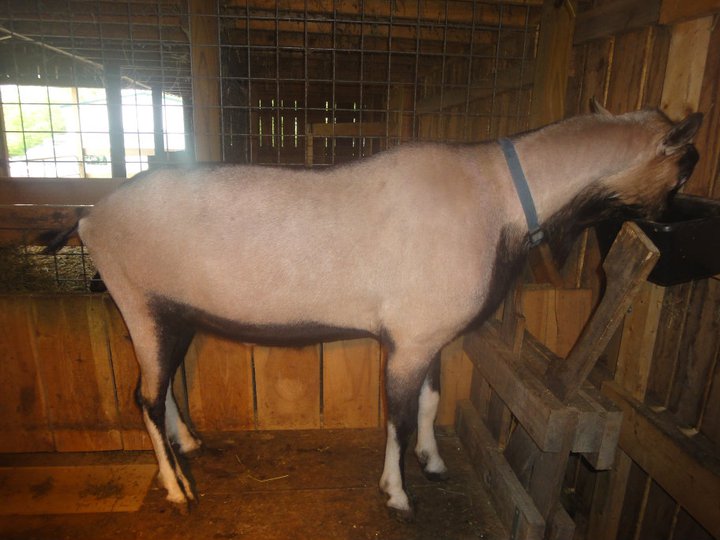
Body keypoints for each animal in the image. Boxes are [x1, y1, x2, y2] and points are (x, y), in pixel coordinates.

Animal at [44, 101, 701, 521]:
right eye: (683, 167)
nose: (670, 219)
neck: (496, 195)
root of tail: (89, 217)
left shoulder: (429, 334)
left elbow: (432, 401)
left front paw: (433, 463)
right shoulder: (409, 341)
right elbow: (399, 417)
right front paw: (398, 494)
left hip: (172, 313)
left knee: (163, 387)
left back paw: (189, 445)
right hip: (140, 303)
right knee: (145, 397)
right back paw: (178, 490)